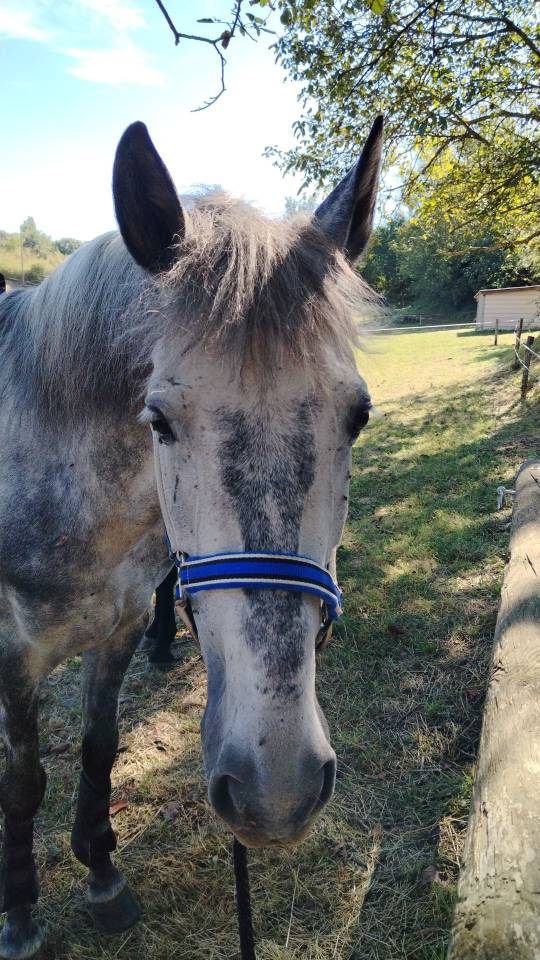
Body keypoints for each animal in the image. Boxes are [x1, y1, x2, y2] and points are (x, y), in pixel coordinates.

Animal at [0, 115, 382, 958]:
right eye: (159, 421)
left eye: (359, 416)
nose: (276, 790)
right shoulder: (11, 655)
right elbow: (23, 779)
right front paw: (19, 916)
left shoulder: (120, 627)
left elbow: (98, 746)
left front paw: (103, 877)